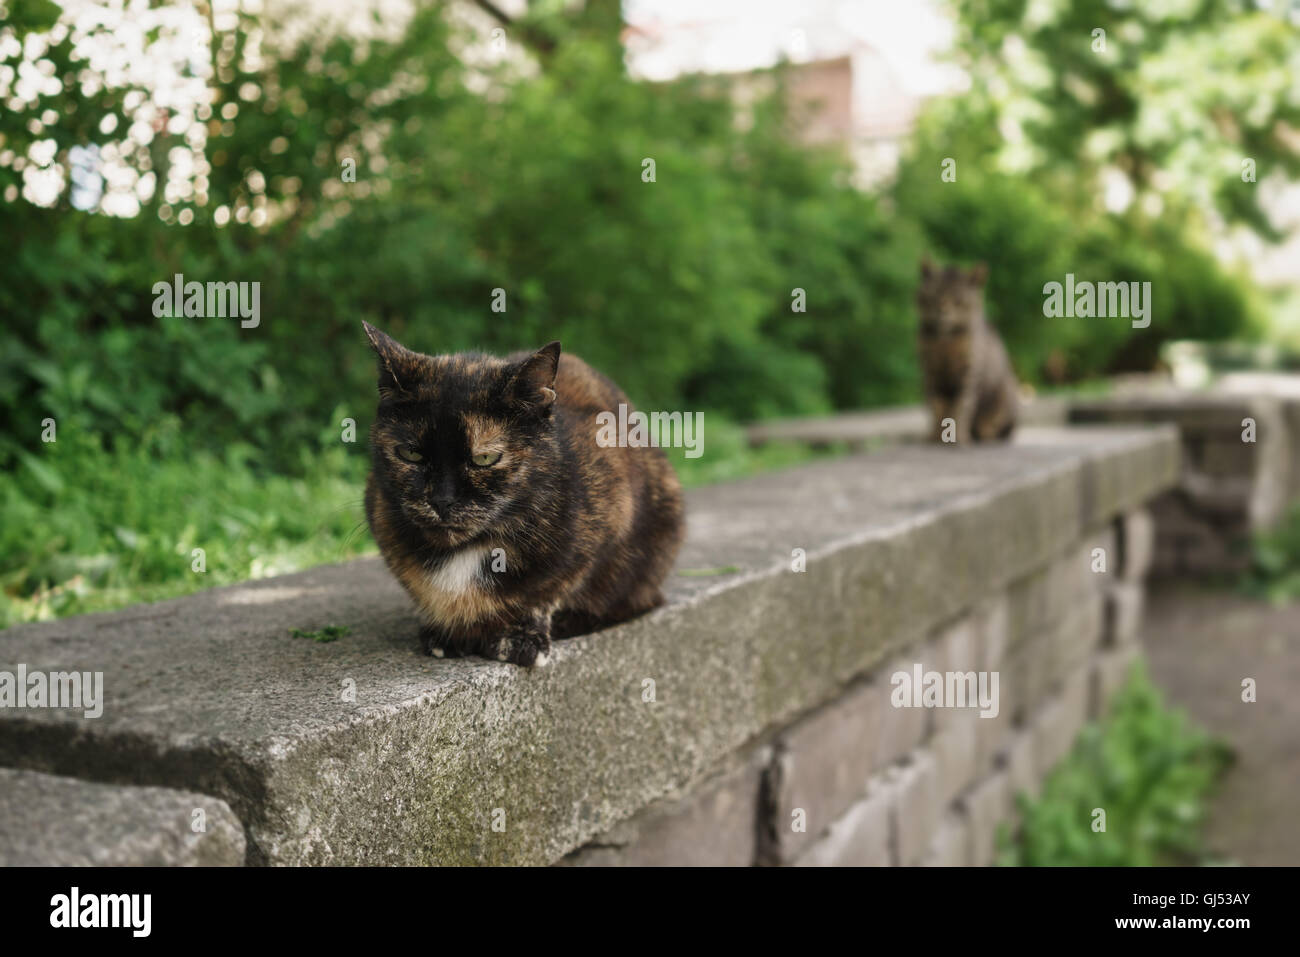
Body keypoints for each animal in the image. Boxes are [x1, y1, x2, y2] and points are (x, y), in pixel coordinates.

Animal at [361, 321, 686, 665]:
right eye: (410, 454)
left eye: (485, 458)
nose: (441, 500)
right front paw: (447, 633)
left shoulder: (608, 521)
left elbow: (546, 592)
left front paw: (520, 636)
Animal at [920, 257, 1019, 444]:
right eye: (935, 296)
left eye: (958, 300)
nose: (942, 311)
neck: (946, 340)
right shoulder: (930, 372)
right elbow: (937, 407)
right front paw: (935, 436)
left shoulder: (970, 371)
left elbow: (961, 407)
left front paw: (958, 437)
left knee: (999, 427)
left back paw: (984, 432)